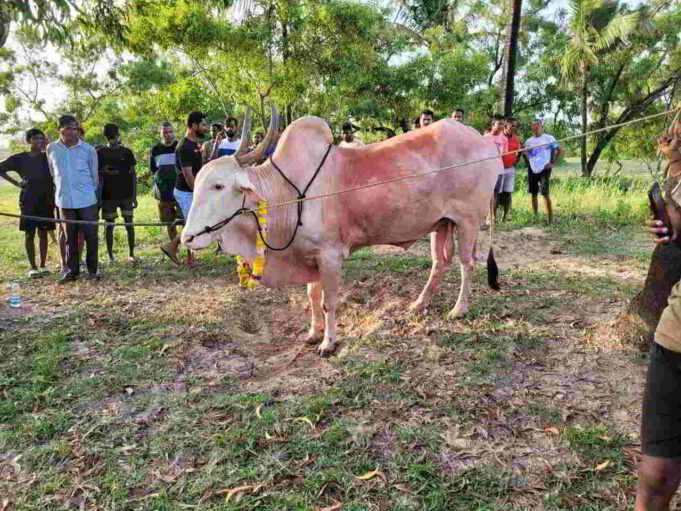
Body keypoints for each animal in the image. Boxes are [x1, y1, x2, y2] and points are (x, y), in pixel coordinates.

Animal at [181, 105, 502, 357]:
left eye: (219, 186)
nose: (187, 238)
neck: (286, 192)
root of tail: (485, 144)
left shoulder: (330, 256)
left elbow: (328, 301)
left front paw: (328, 342)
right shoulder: (309, 256)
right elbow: (312, 296)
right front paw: (313, 333)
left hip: (468, 221)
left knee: (467, 263)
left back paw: (459, 309)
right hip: (441, 224)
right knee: (440, 262)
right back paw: (418, 304)